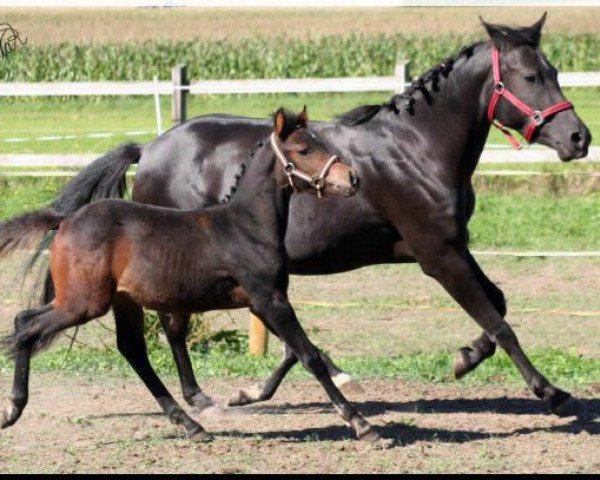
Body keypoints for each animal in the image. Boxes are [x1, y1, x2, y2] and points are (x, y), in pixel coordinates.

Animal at [30, 15, 588, 416]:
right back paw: (201, 399)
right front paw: (549, 391)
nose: (579, 138)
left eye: (556, 72)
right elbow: (498, 320)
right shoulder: (438, 254)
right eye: (531, 75)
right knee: (175, 326)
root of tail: (149, 149)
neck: (416, 148)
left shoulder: (455, 246)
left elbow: (499, 303)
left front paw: (463, 359)